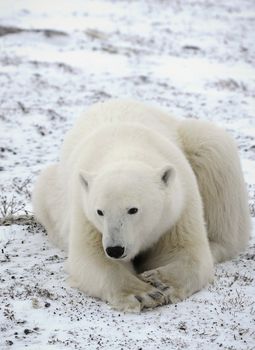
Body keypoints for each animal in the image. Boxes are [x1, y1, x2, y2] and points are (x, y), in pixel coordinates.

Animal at [31, 98, 249, 312]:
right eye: (100, 211)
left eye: (133, 210)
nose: (115, 249)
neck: (126, 147)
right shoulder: (84, 211)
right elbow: (90, 259)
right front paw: (142, 294)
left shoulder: (180, 205)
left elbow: (186, 252)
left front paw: (161, 281)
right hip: (52, 190)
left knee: (213, 150)